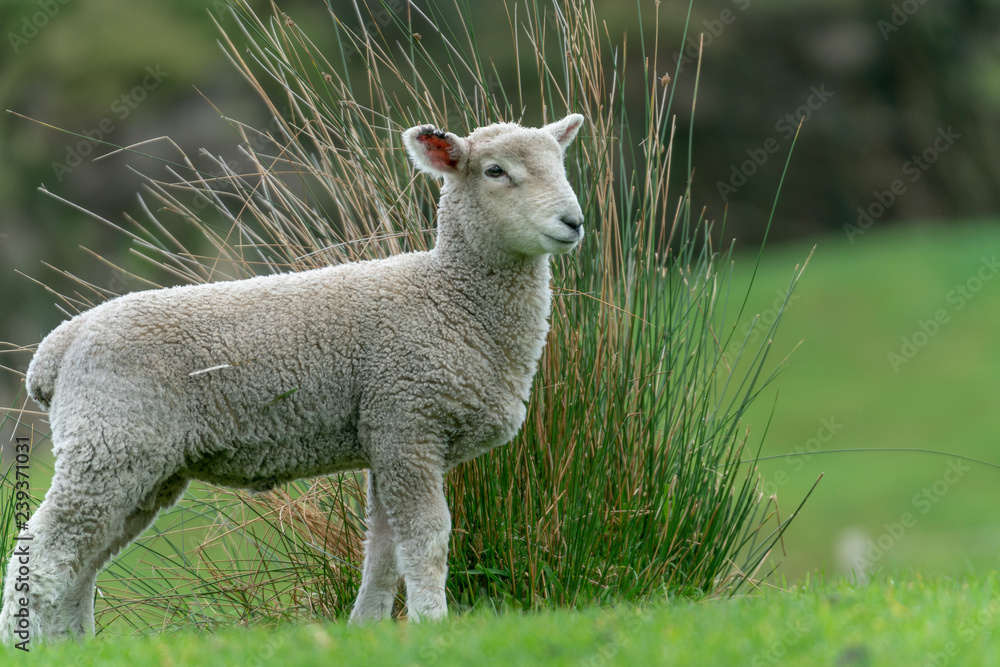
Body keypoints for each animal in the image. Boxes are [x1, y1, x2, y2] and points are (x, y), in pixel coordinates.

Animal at [0, 113, 585, 643]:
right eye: (495, 171)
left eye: (560, 164)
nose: (574, 222)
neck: (449, 299)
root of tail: (57, 346)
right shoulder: (408, 425)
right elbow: (425, 541)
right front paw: (432, 625)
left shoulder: (384, 437)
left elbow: (382, 550)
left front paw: (366, 628)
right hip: (109, 444)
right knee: (45, 554)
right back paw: (24, 643)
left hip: (139, 463)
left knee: (84, 564)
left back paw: (74, 646)